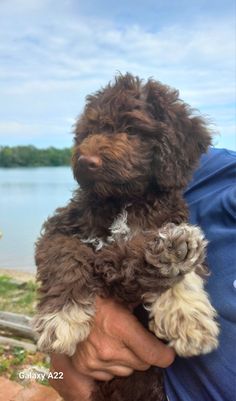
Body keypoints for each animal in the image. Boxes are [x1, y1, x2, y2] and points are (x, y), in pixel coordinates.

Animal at [33, 73, 219, 398]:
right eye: (88, 131)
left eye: (132, 129)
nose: (86, 161)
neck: (123, 201)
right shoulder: (61, 229)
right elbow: (68, 255)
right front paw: (62, 317)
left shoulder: (166, 217)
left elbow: (129, 252)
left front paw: (186, 311)